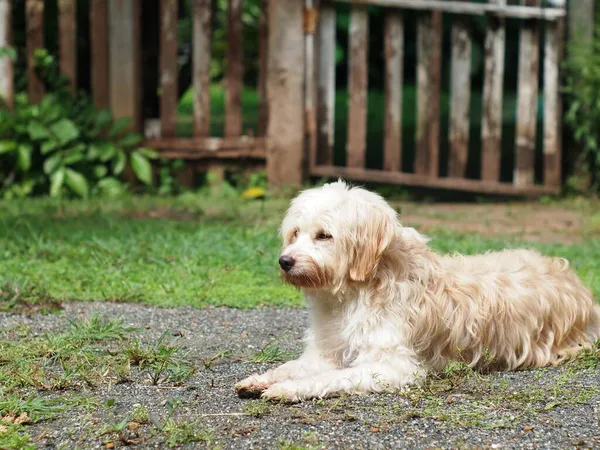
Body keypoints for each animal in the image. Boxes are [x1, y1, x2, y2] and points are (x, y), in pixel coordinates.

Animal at [234, 179, 600, 400]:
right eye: (295, 232)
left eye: (324, 235)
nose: (285, 261)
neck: (357, 291)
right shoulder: (327, 352)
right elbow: (294, 366)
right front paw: (261, 379)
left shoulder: (392, 367)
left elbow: (330, 378)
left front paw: (287, 389)